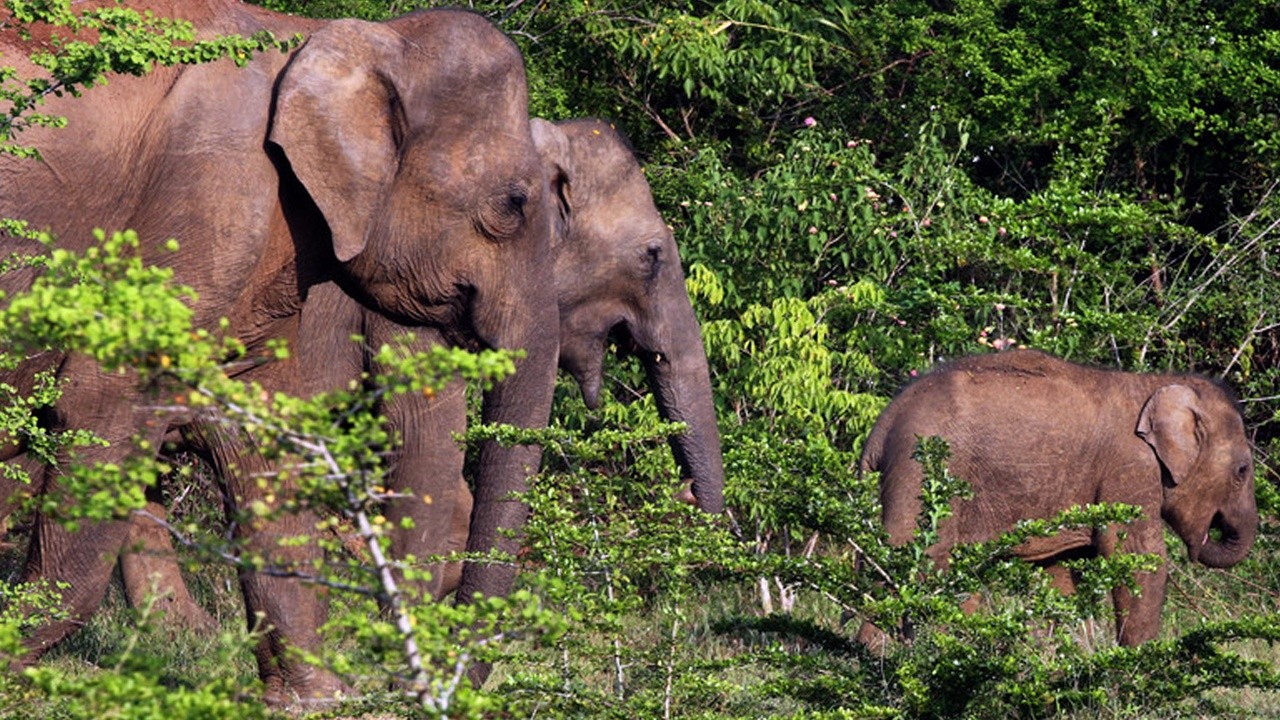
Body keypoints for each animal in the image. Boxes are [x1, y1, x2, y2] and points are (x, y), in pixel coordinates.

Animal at [1, 2, 560, 702]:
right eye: (513, 204)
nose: (424, 689)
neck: (329, 38)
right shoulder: (207, 194)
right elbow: (106, 402)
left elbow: (262, 441)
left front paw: (311, 698)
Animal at [860, 348, 1259, 645]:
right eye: (1242, 470)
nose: (1207, 538)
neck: (1156, 383)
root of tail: (884, 422)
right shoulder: (1129, 467)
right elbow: (1137, 557)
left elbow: (1061, 572)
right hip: (924, 464)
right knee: (914, 554)